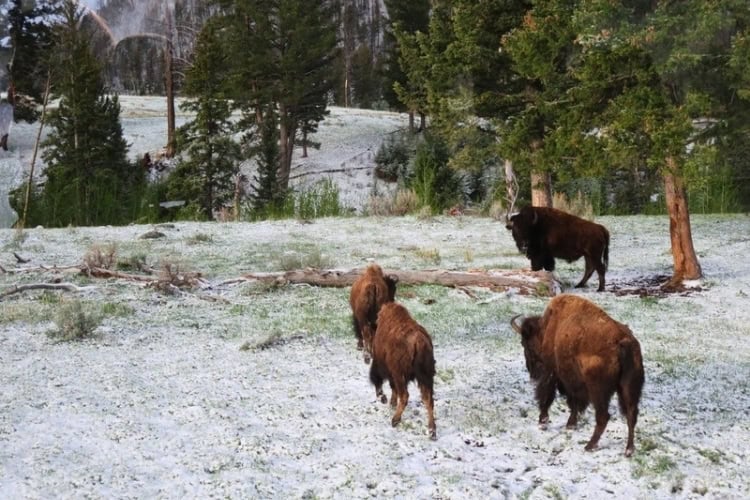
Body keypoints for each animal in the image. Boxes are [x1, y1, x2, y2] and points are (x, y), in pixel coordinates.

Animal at [511, 294, 644, 456]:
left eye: (525, 344)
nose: (532, 373)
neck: (547, 328)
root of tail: (623, 342)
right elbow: (574, 401)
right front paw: (571, 424)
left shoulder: (553, 372)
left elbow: (548, 395)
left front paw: (543, 421)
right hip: (628, 388)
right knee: (631, 414)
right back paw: (629, 450)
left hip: (598, 390)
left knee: (603, 416)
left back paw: (590, 445)